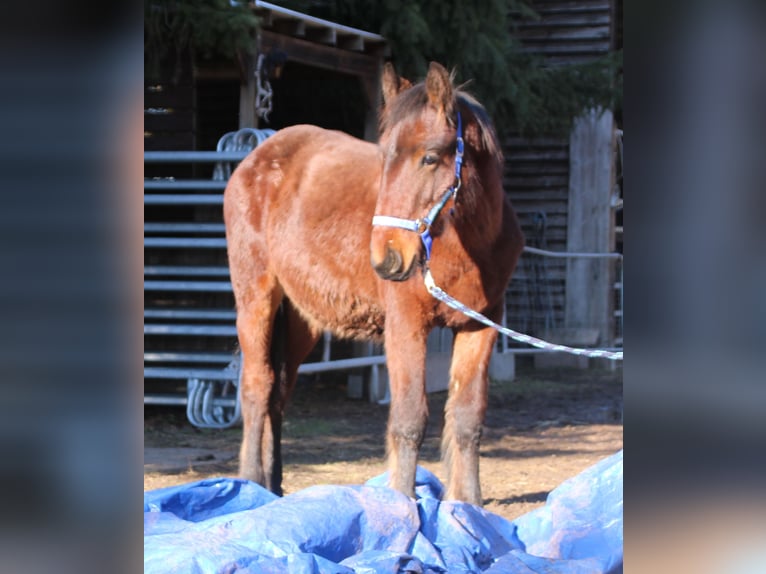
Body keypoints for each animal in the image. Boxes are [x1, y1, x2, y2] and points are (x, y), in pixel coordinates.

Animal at [222, 60, 520, 506]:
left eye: (430, 158)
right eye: (385, 158)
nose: (387, 257)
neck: (467, 247)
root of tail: (256, 157)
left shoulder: (479, 324)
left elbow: (468, 416)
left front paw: (467, 506)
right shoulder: (406, 325)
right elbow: (409, 418)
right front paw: (403, 503)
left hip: (301, 321)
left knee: (279, 395)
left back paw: (275, 489)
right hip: (256, 301)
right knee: (258, 387)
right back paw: (251, 484)